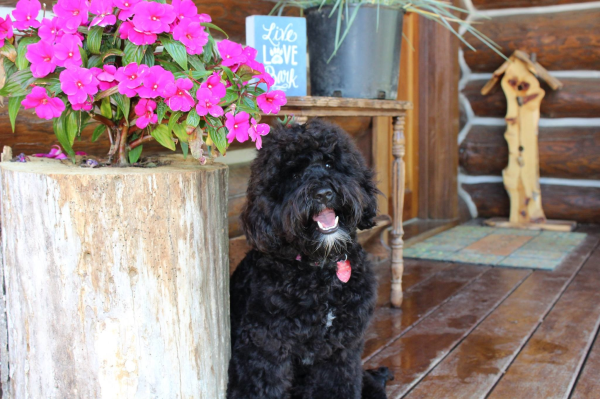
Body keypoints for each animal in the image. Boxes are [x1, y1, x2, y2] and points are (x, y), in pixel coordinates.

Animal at [227, 119, 392, 399]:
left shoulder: (341, 351)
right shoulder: (265, 348)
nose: (323, 193)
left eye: (329, 164)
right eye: (293, 175)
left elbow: (337, 386)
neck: (320, 269)